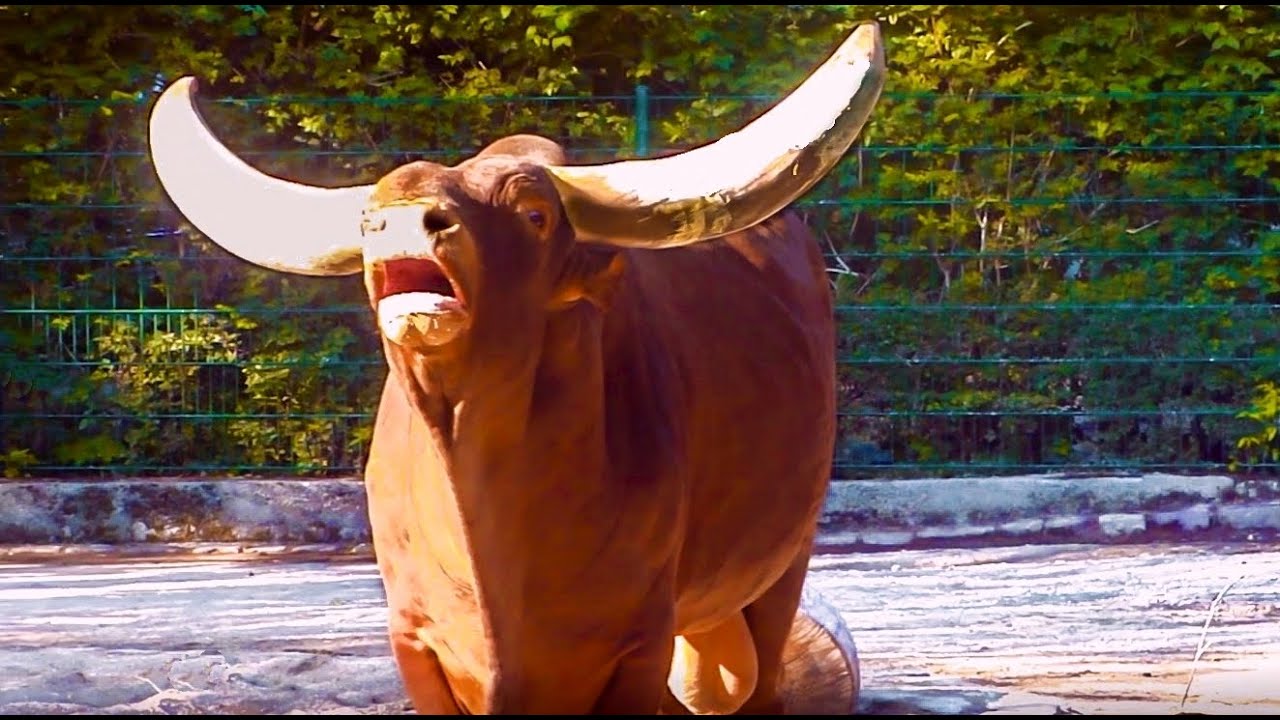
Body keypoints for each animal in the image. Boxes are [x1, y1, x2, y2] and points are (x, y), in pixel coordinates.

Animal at [149, 22, 885, 712]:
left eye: (534, 212)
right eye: (367, 219)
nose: (403, 222)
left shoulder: (638, 641)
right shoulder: (416, 639)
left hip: (780, 570)